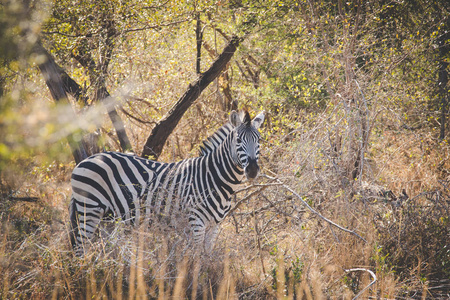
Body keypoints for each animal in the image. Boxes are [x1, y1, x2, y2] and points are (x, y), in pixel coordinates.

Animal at [69, 110, 266, 255]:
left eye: (259, 140)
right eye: (238, 140)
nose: (252, 170)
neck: (213, 178)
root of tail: (88, 159)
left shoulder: (214, 226)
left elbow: (207, 258)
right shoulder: (196, 223)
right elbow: (197, 260)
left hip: (109, 216)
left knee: (108, 248)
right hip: (89, 209)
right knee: (80, 248)